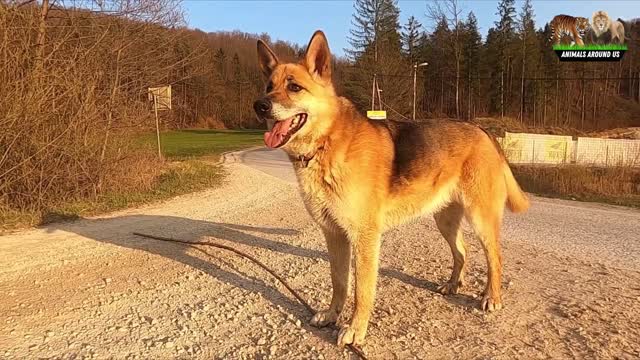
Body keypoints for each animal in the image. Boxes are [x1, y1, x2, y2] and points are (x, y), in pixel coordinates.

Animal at [252, 30, 528, 346]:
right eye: (268, 86)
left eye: (294, 87)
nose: (259, 105)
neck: (326, 144)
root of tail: (483, 131)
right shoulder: (334, 235)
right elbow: (339, 282)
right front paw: (333, 315)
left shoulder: (364, 238)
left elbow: (362, 290)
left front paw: (355, 329)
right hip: (445, 220)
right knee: (462, 251)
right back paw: (452, 284)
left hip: (480, 219)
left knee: (494, 257)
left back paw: (491, 296)